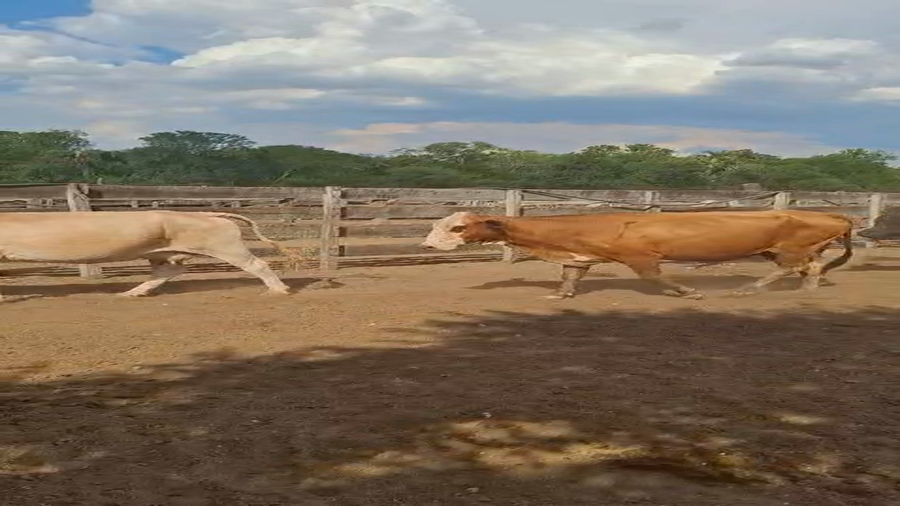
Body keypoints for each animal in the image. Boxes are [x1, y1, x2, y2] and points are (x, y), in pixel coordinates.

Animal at [0, 211, 305, 300]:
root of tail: (209, 214)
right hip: (164, 253)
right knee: (169, 271)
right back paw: (131, 293)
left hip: (227, 247)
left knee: (258, 264)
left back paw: (279, 291)